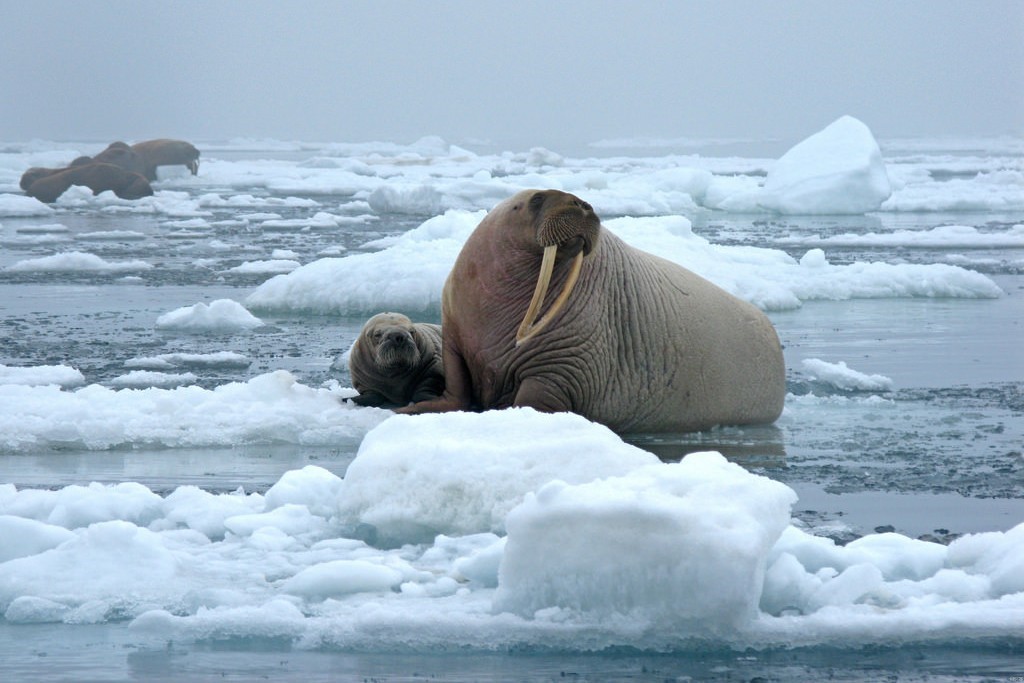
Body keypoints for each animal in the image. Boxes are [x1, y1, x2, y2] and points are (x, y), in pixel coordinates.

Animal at [397, 188, 782, 432]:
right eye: (537, 198)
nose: (582, 204)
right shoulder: (456, 334)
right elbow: (457, 385)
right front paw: (411, 409)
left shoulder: (564, 362)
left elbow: (536, 398)